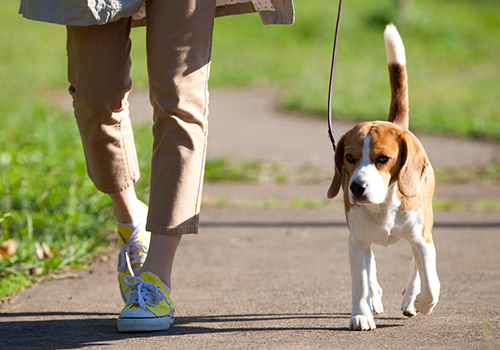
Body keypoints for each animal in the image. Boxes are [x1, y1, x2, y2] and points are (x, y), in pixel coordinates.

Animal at [330, 25, 440, 330]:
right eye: (349, 158)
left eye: (382, 159)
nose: (356, 187)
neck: (384, 205)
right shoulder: (355, 242)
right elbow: (360, 281)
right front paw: (361, 314)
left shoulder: (423, 239)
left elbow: (430, 281)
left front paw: (422, 302)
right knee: (371, 268)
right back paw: (376, 298)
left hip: (424, 225)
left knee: (416, 264)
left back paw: (411, 298)